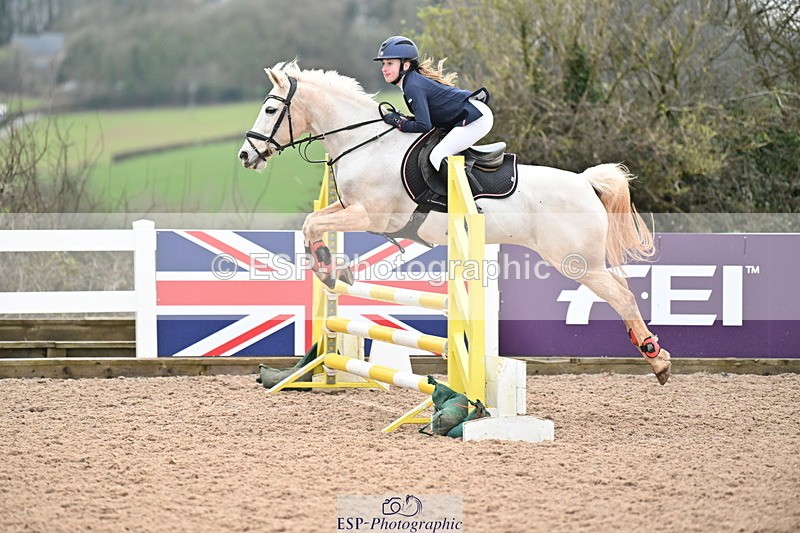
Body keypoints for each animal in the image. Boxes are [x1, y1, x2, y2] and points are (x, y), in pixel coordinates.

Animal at [237, 60, 671, 385]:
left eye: (271, 110)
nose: (244, 156)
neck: (366, 145)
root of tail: (584, 182)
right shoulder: (354, 211)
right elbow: (314, 221)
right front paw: (335, 270)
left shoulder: (373, 215)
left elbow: (313, 223)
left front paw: (330, 272)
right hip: (585, 261)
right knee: (623, 290)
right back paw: (653, 352)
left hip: (576, 262)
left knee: (623, 297)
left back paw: (657, 360)